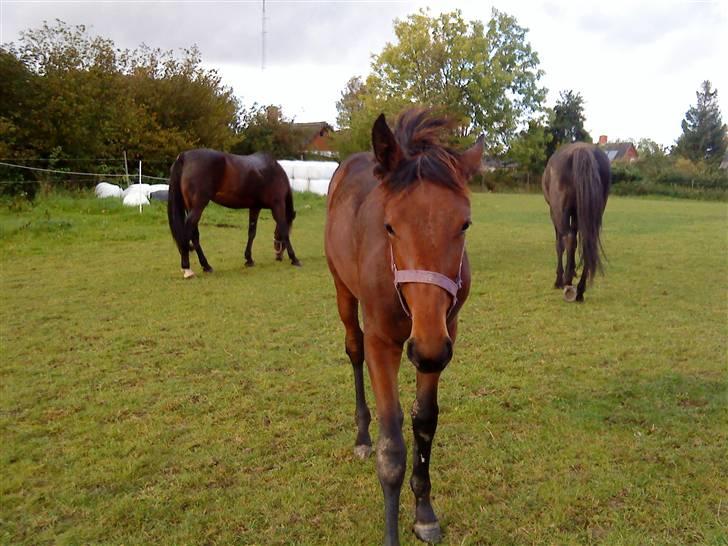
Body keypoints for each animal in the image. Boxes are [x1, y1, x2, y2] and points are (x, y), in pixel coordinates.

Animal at [167, 148, 301, 278]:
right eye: (291, 229)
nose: (279, 256)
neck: (274, 171)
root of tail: (184, 156)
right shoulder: (277, 205)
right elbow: (283, 229)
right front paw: (294, 258)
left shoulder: (255, 207)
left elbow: (252, 232)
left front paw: (249, 259)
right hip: (198, 207)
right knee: (187, 232)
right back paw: (187, 269)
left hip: (190, 208)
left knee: (194, 235)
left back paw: (206, 266)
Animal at [325, 108, 483, 546]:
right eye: (390, 226)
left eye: (465, 224)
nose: (426, 348)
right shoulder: (384, 342)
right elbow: (392, 444)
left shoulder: (445, 335)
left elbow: (424, 421)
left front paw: (424, 513)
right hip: (343, 291)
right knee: (353, 349)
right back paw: (362, 437)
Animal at [542, 142, 611, 302]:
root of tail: (582, 150)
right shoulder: (577, 216)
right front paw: (572, 269)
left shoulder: (554, 213)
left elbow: (560, 245)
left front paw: (559, 278)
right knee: (587, 244)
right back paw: (579, 290)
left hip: (559, 213)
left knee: (569, 239)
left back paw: (566, 283)